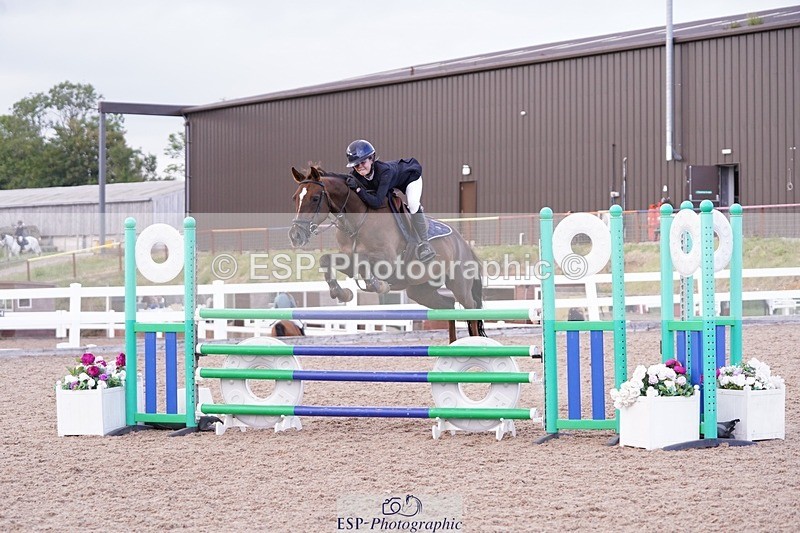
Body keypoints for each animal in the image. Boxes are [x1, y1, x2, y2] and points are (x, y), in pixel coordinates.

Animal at [288, 166, 485, 338]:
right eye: (295, 198)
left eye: (315, 198)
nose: (295, 236)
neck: (357, 222)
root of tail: (463, 244)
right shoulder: (348, 260)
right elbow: (326, 259)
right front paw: (343, 293)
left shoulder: (388, 262)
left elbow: (364, 260)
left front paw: (380, 285)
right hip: (420, 290)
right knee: (449, 305)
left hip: (459, 285)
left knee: (471, 307)